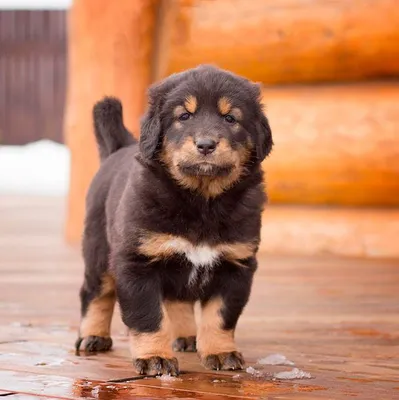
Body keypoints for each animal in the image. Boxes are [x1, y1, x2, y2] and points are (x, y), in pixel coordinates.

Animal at [75, 65, 274, 376]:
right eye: (184, 116)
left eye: (230, 118)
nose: (206, 145)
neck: (202, 200)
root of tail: (117, 149)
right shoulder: (137, 263)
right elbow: (147, 316)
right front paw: (155, 358)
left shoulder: (236, 264)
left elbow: (220, 315)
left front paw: (221, 352)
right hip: (99, 250)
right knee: (95, 293)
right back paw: (93, 336)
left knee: (177, 301)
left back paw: (187, 336)